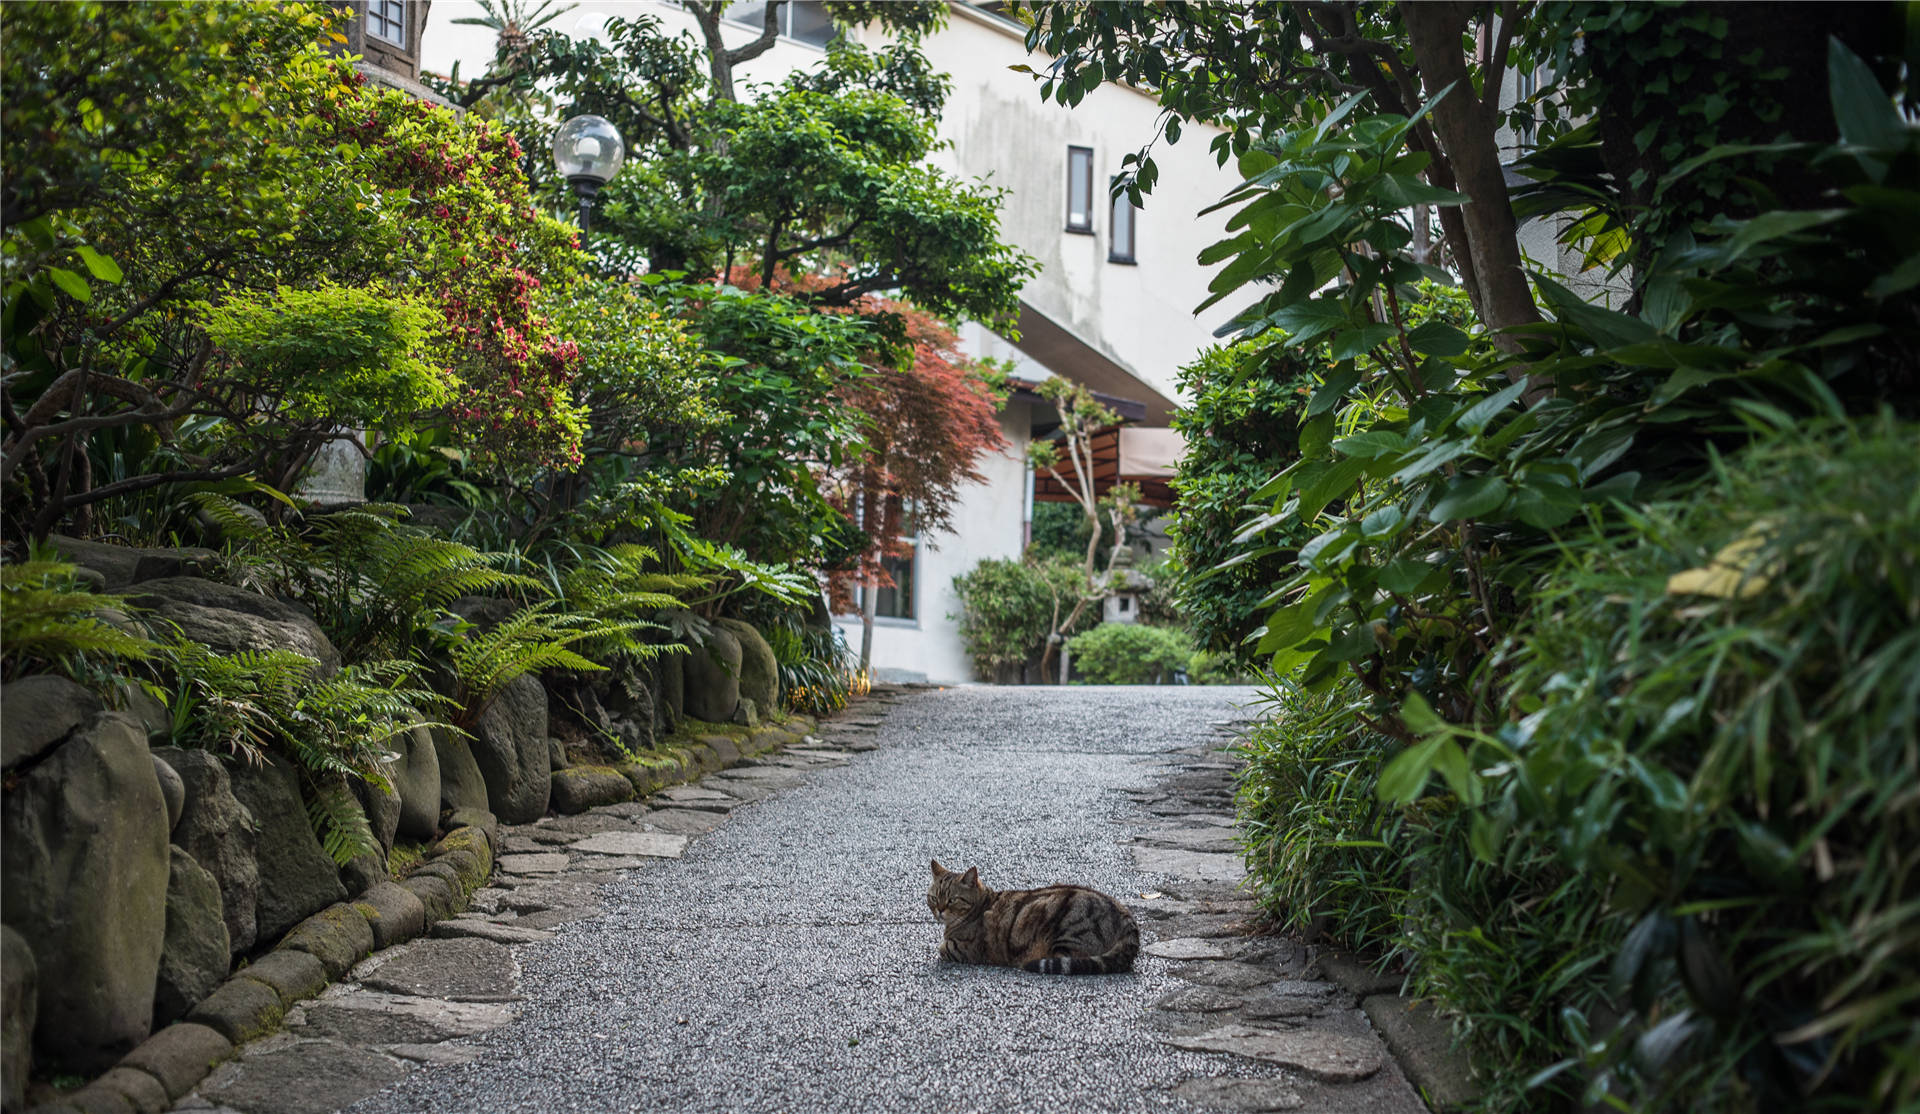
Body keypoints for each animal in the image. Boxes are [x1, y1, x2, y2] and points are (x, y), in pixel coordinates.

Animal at [921, 860, 1128, 975]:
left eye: (952, 900)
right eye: (934, 898)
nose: (939, 910)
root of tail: (1124, 914)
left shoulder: (963, 949)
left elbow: (942, 947)